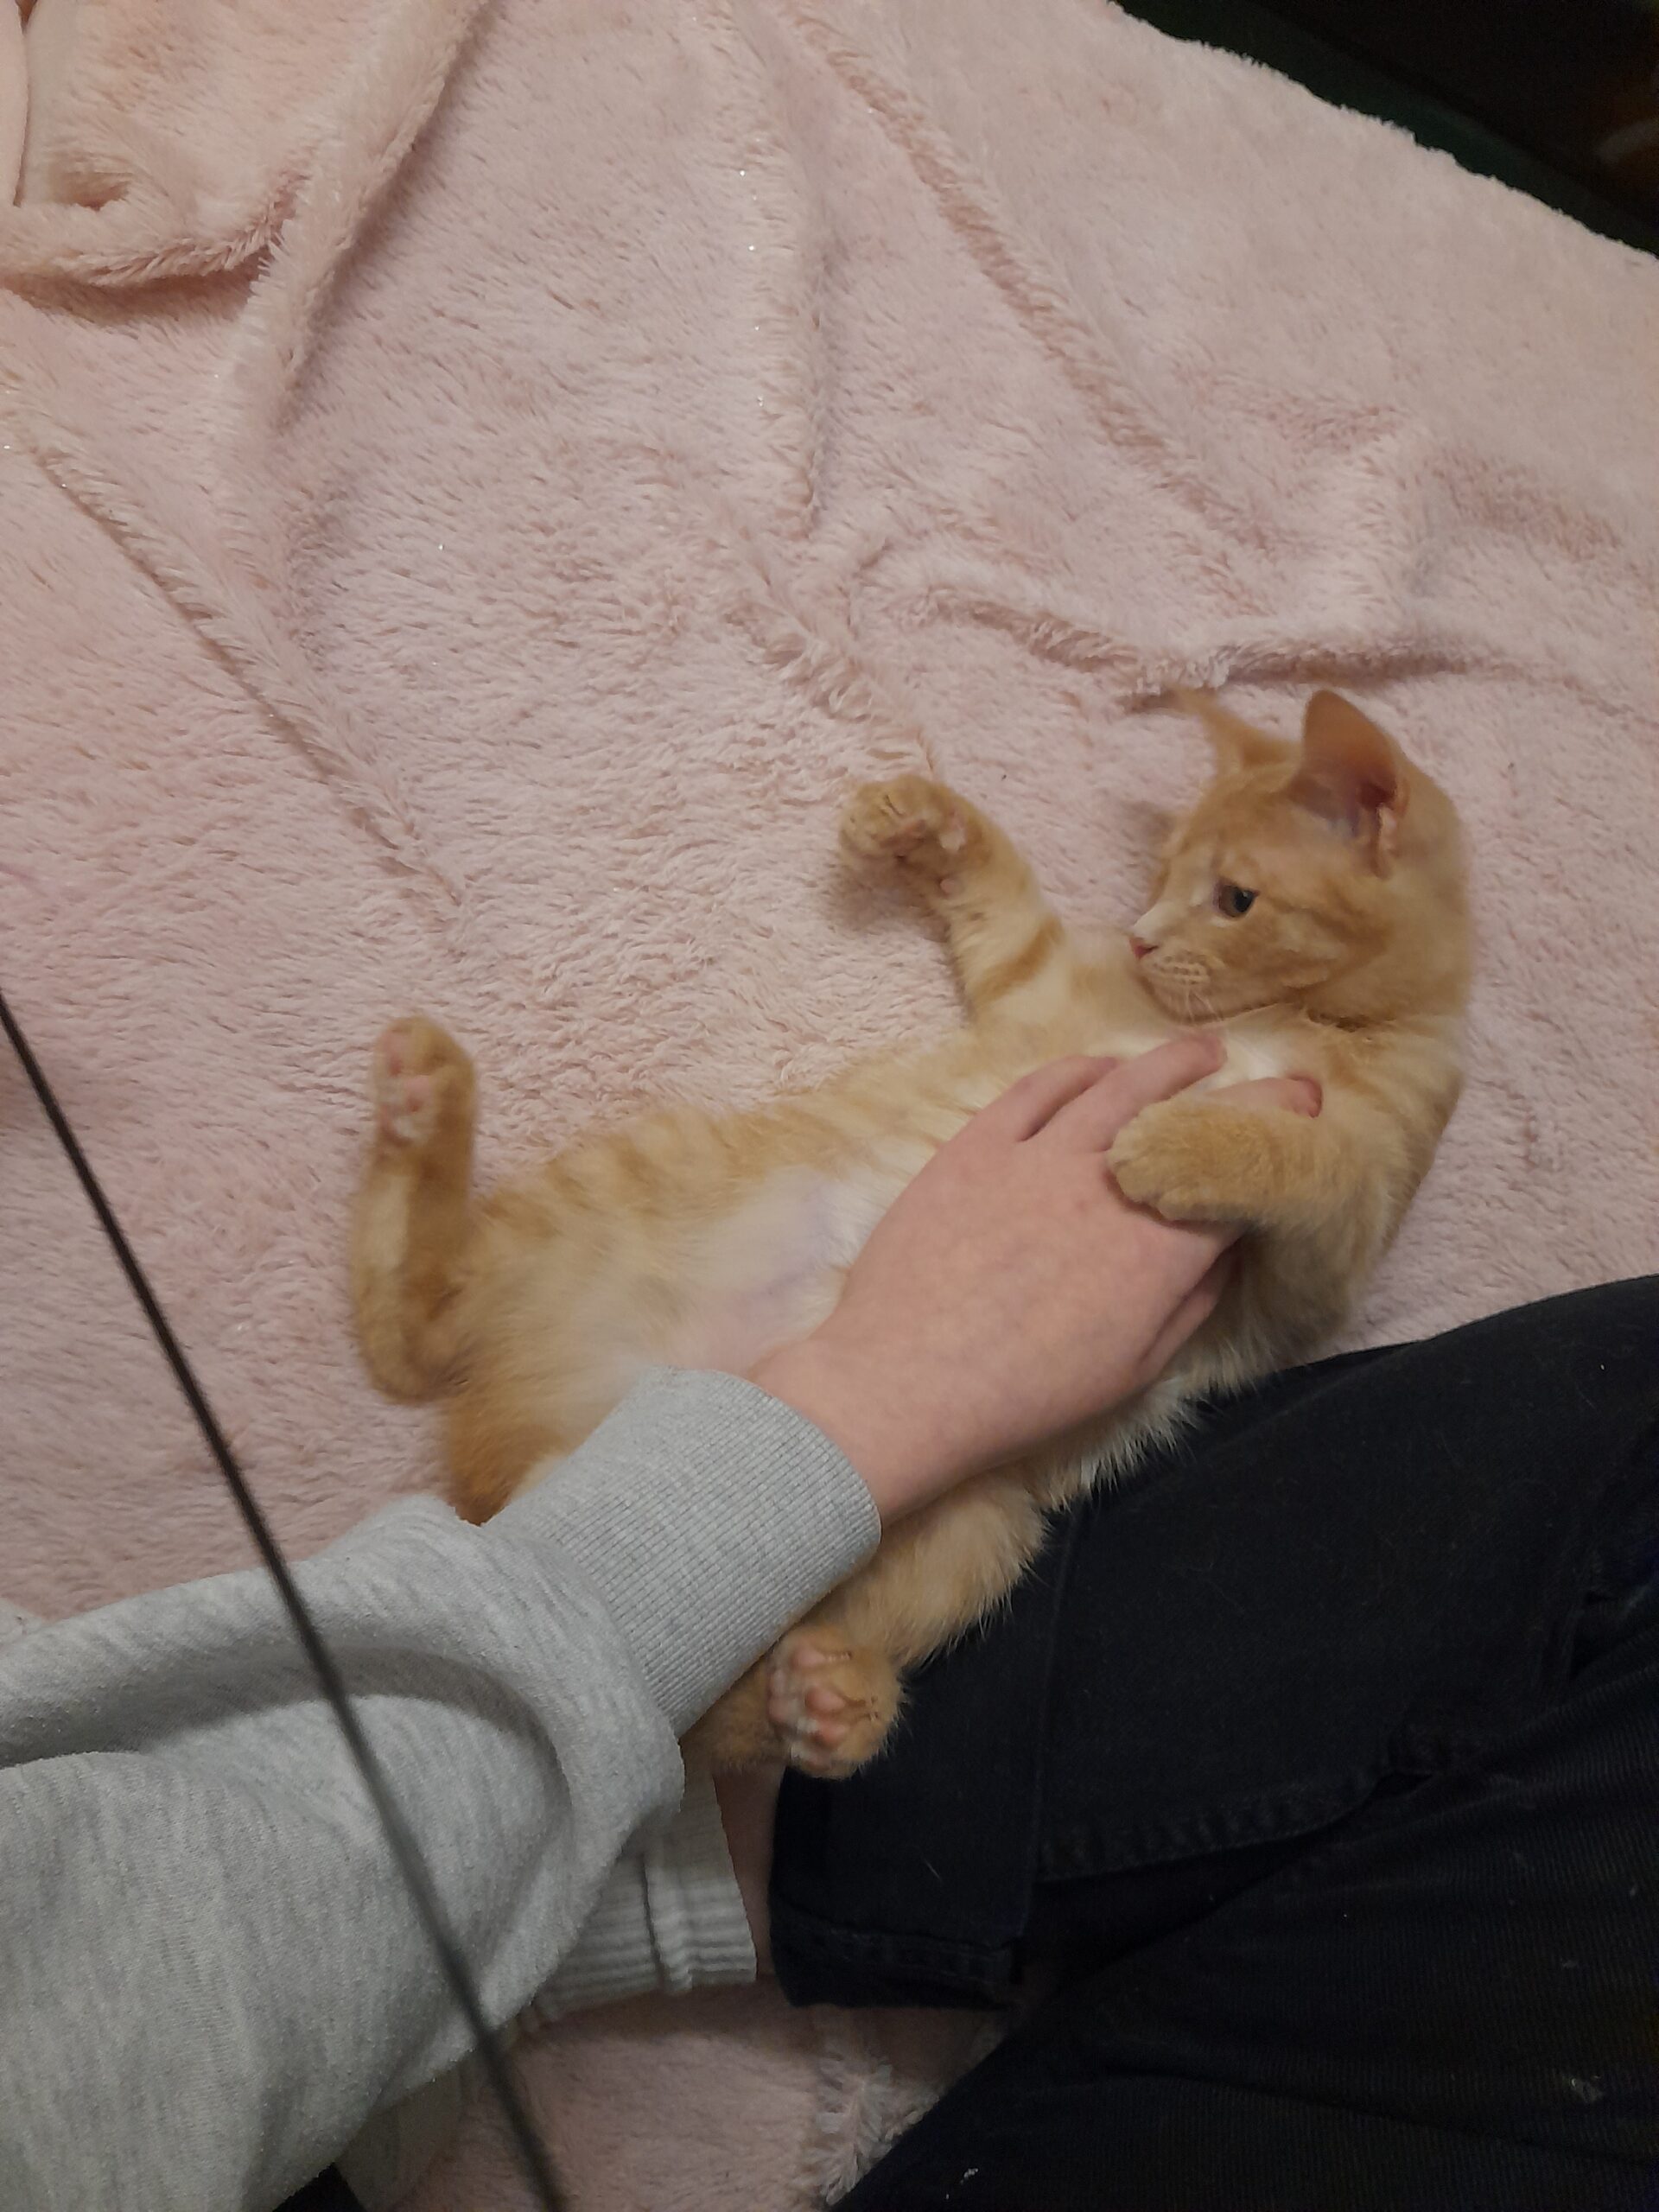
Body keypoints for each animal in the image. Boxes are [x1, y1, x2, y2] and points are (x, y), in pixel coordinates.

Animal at [351, 689, 1470, 1776]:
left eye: (1234, 897)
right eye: (1158, 877)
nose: (1144, 939)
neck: (1288, 1022)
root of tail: (533, 1437)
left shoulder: (1329, 1254)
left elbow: (1305, 1163)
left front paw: (1177, 1142)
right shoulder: (1040, 991)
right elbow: (1008, 910)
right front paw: (927, 819)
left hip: (975, 1525)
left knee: (697, 1706)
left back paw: (835, 1702)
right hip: (628, 1182)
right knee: (415, 1335)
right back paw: (424, 1111)